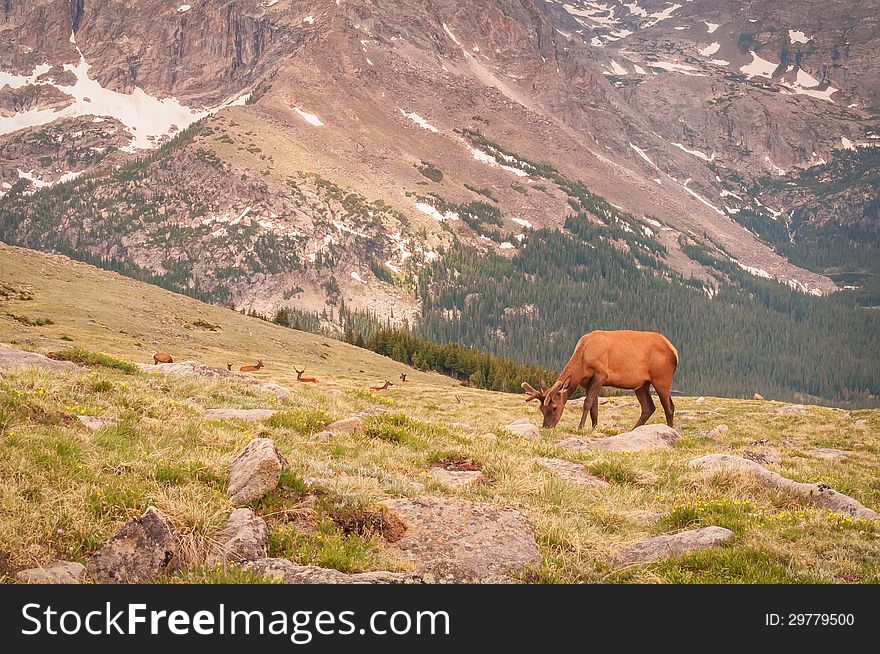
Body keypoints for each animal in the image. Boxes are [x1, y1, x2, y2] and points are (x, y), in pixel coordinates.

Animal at [524, 330, 680, 434]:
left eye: (555, 407)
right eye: (541, 409)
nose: (546, 427)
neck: (583, 359)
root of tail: (674, 352)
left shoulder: (601, 375)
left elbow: (587, 403)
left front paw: (580, 427)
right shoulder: (588, 382)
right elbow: (594, 409)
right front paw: (594, 427)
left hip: (661, 378)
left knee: (669, 406)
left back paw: (670, 429)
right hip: (642, 384)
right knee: (649, 407)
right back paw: (634, 429)